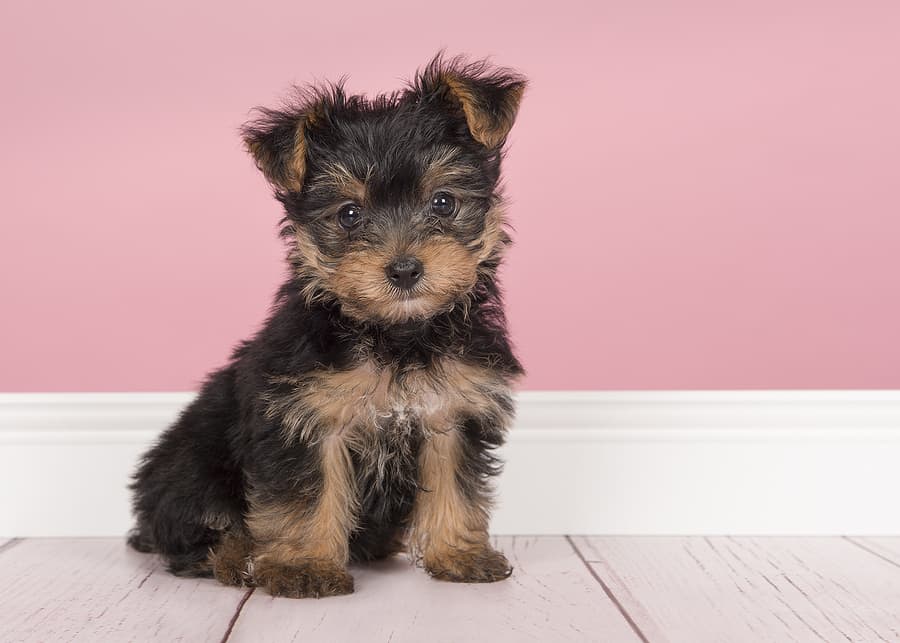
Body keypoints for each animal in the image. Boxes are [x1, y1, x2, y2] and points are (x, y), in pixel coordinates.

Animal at [125, 54, 524, 600]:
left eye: (443, 202)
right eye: (349, 214)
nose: (404, 270)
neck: (396, 336)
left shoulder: (454, 410)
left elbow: (455, 485)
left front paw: (460, 555)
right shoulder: (303, 417)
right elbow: (305, 497)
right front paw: (303, 568)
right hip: (192, 464)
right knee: (199, 528)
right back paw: (237, 558)